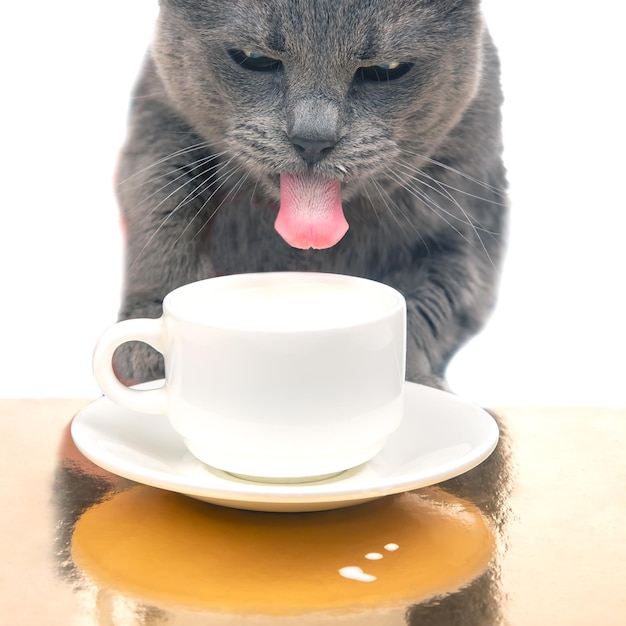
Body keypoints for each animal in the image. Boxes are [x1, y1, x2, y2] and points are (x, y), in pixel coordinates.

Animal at [114, 0, 508, 388]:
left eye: (386, 69)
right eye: (253, 58)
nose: (313, 139)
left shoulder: (470, 219)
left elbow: (437, 300)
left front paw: (413, 381)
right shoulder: (160, 121)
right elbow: (161, 209)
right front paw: (148, 333)